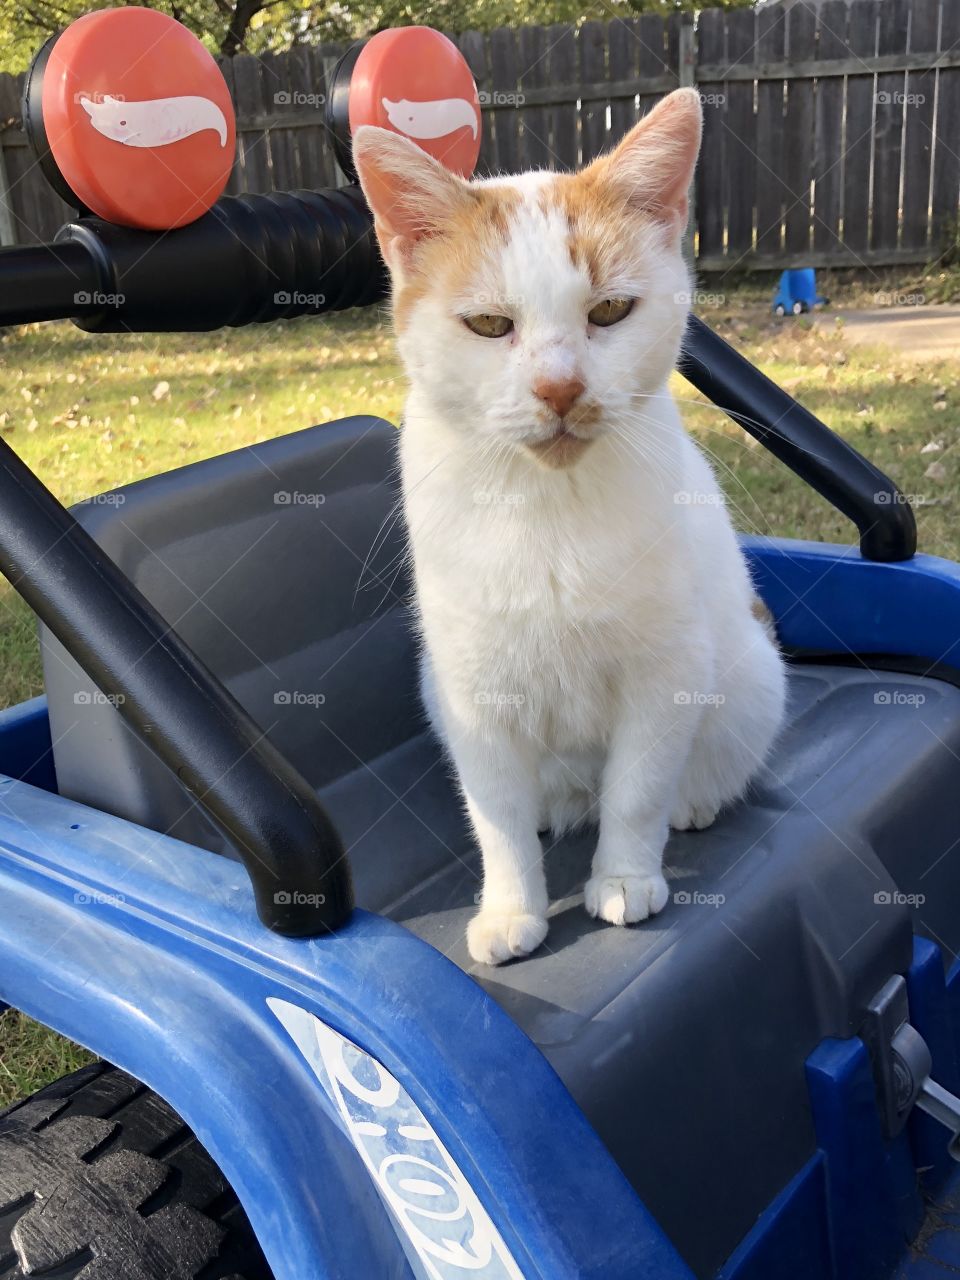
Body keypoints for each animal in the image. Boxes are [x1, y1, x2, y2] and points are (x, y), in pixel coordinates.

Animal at [353, 90, 788, 962]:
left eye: (611, 311)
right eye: (490, 325)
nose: (560, 388)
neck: (546, 509)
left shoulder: (664, 671)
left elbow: (636, 790)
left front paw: (624, 879)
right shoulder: (471, 691)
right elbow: (496, 818)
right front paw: (509, 909)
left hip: (752, 676)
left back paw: (690, 803)